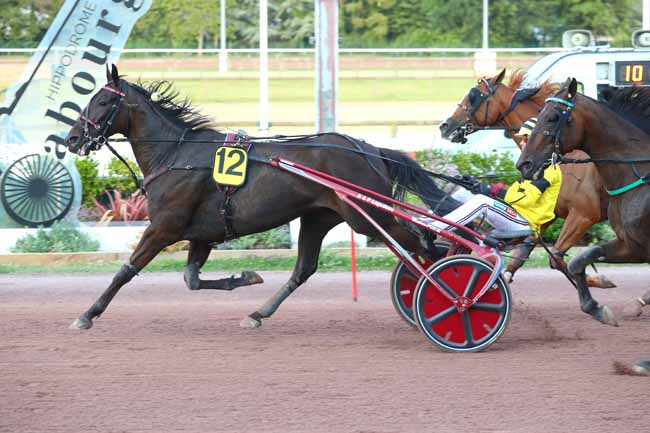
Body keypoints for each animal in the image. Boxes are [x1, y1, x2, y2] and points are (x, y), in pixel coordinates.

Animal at [63, 63, 458, 328]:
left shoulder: (164, 228)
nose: (72, 138)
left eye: (101, 101)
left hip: (366, 216)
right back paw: (258, 313)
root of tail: (369, 149)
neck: (176, 155)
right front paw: (247, 277)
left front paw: (87, 314)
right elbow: (192, 280)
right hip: (320, 217)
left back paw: (448, 293)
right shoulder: (202, 233)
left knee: (423, 244)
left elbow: (125, 271)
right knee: (305, 268)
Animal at [438, 70, 612, 286]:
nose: (445, 125)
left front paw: (596, 280)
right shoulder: (548, 216)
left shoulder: (584, 215)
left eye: (473, 95)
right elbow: (524, 253)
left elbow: (557, 258)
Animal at [516, 79, 650, 326]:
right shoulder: (631, 244)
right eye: (539, 114)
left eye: (552, 117)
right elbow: (579, 260)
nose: (524, 164)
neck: (640, 174)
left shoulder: (584, 215)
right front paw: (597, 308)